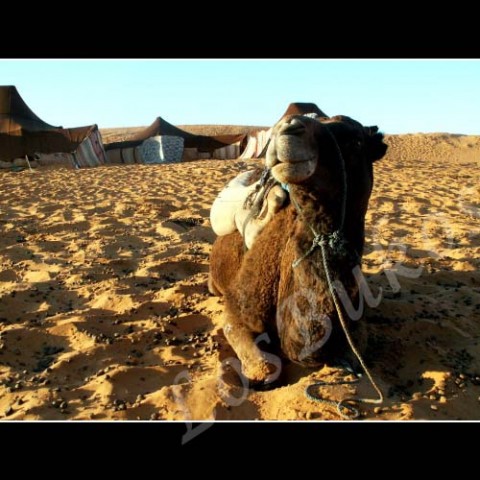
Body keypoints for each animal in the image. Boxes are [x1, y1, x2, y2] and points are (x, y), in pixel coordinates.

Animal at [208, 114, 388, 384]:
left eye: (356, 141)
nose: (289, 126)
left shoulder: (357, 319)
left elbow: (354, 354)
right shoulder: (236, 309)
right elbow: (266, 367)